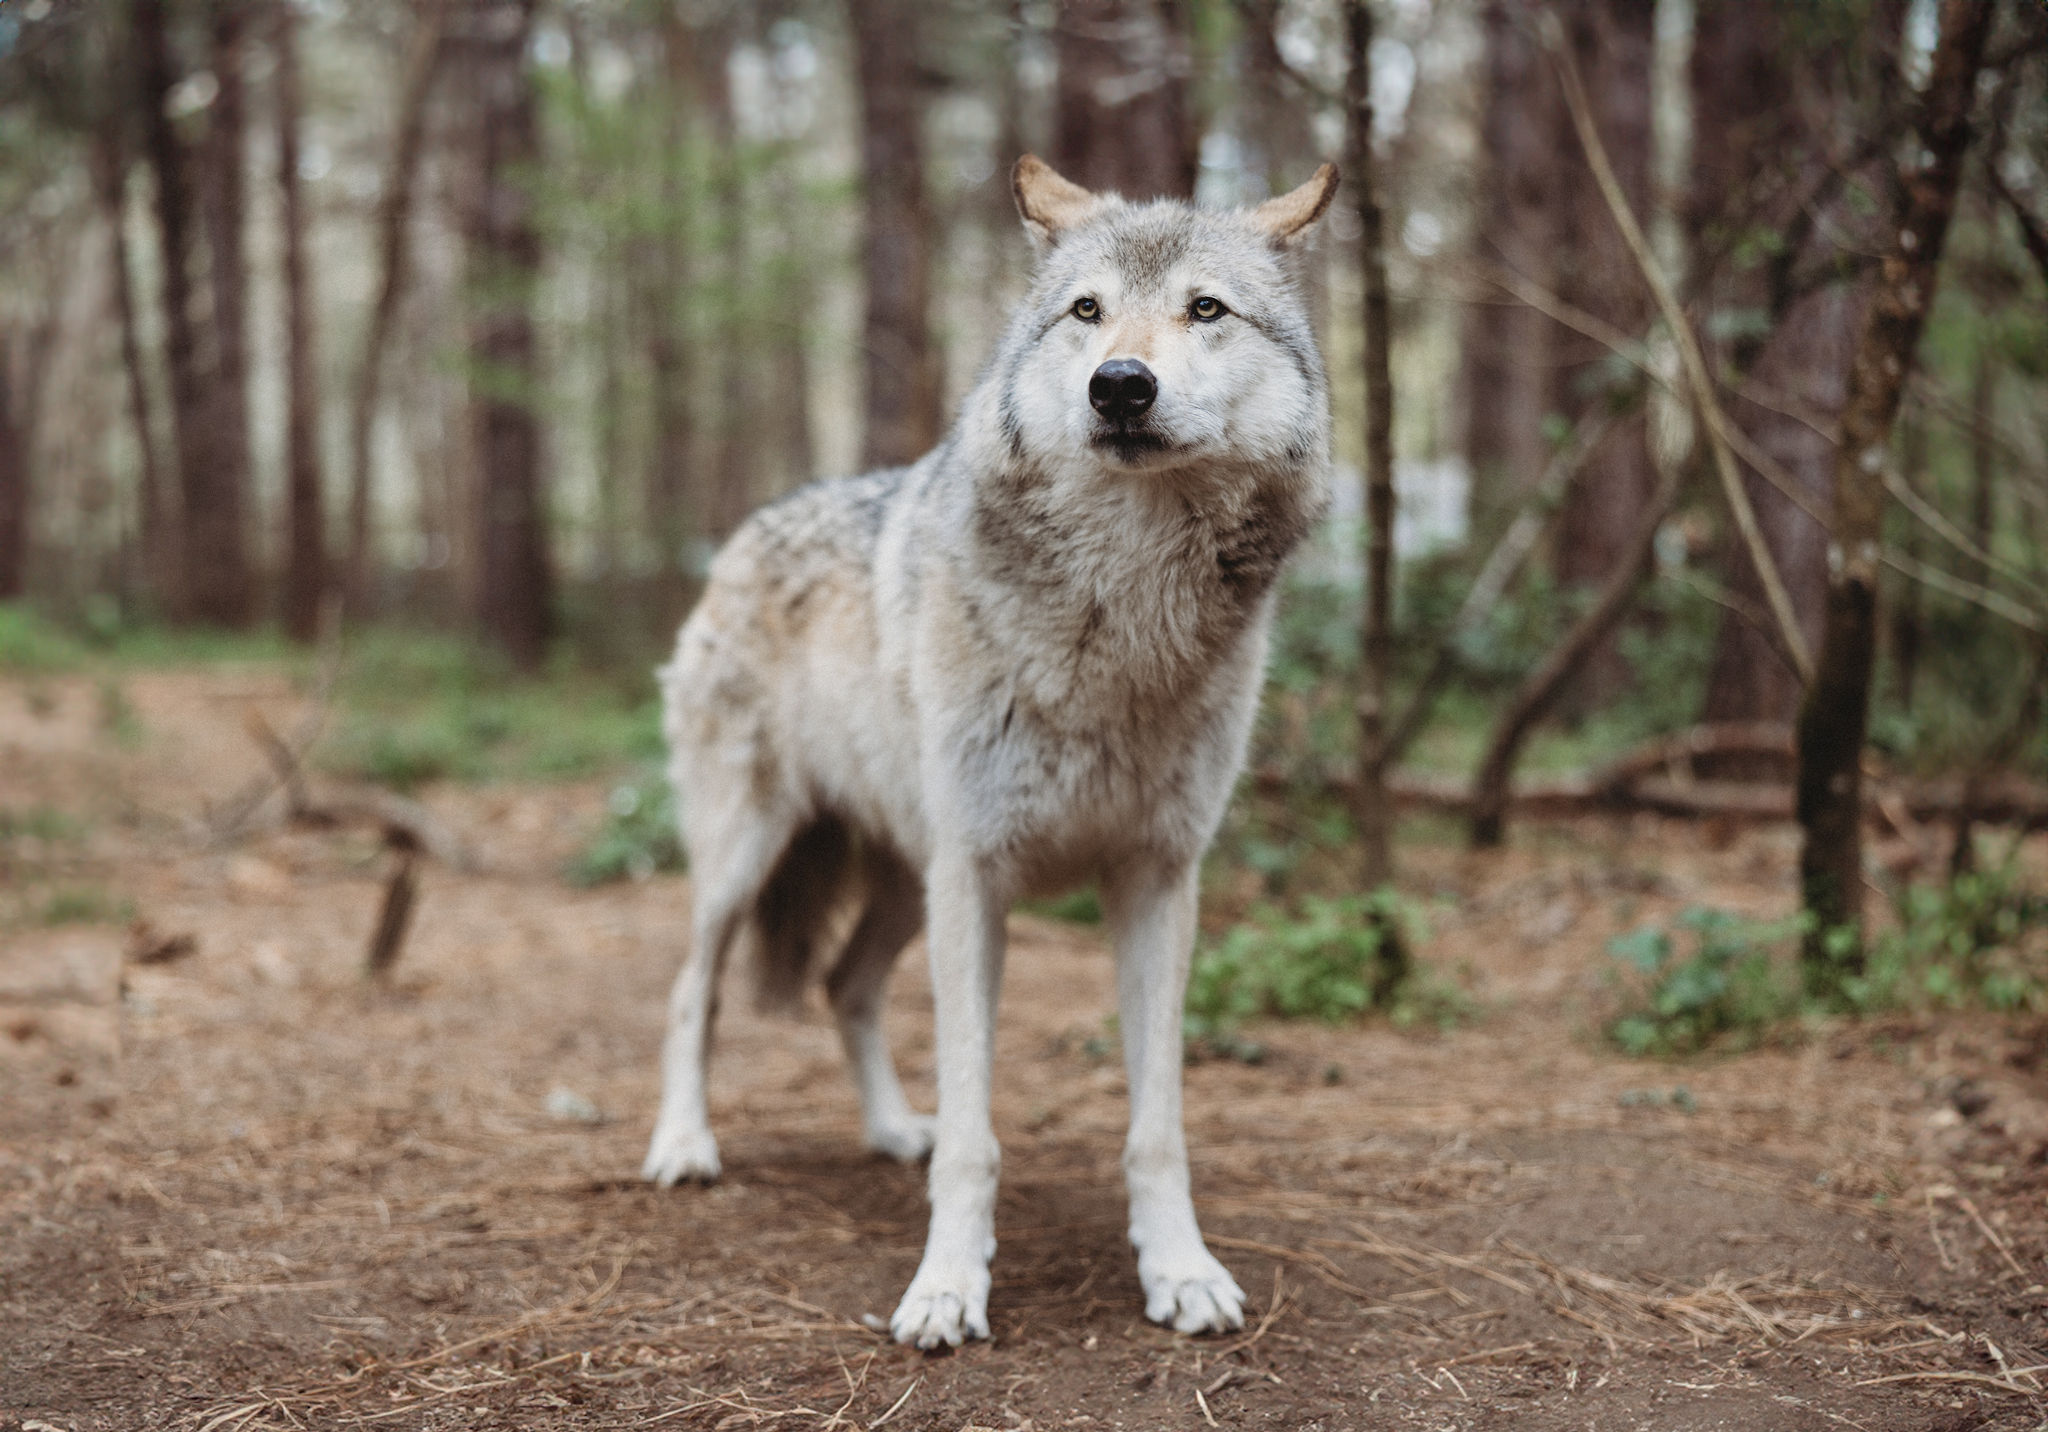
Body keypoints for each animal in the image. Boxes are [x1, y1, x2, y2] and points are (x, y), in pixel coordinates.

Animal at [642, 154, 1340, 1349]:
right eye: (1087, 311)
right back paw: (684, 1146)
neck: (1118, 617)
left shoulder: (1157, 881)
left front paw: (1180, 1271)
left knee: (843, 986)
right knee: (693, 992)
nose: (1119, 386)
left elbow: (1156, 1125)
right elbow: (976, 1133)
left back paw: (890, 1129)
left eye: (1205, 310)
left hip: (901, 881)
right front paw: (944, 1290)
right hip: (752, 858)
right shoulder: (978, 877)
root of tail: (745, 531)